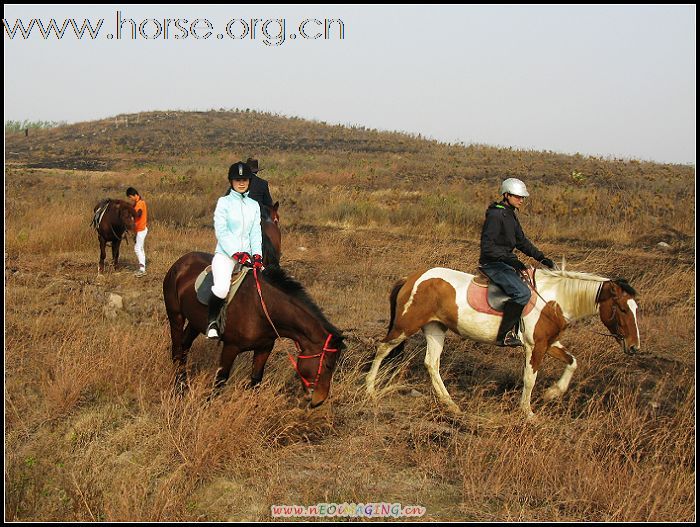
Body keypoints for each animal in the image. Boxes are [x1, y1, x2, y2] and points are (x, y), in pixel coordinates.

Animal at [162, 253, 348, 408]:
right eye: (329, 365)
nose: (319, 400)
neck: (262, 309)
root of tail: (182, 261)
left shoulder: (264, 349)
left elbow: (256, 380)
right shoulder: (230, 347)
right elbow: (220, 381)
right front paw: (209, 408)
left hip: (194, 323)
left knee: (184, 347)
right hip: (176, 316)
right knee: (177, 350)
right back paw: (179, 388)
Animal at [366, 266, 640, 418]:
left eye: (636, 308)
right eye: (623, 309)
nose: (634, 347)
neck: (553, 300)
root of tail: (412, 279)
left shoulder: (548, 343)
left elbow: (572, 362)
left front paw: (553, 393)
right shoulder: (534, 347)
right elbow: (530, 378)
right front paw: (528, 413)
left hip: (435, 329)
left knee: (431, 363)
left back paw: (451, 405)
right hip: (405, 327)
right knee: (382, 348)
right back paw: (370, 390)